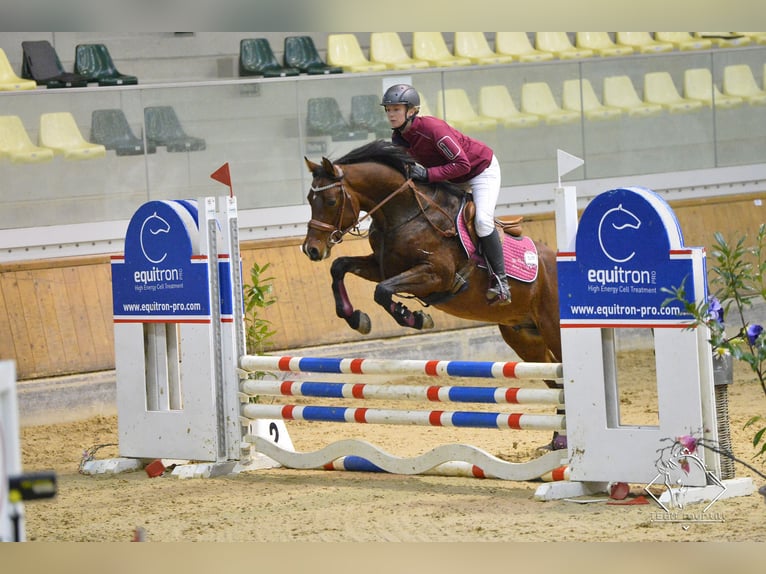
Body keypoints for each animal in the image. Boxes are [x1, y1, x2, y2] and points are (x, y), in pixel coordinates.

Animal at [302, 142, 564, 448]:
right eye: (309, 199)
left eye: (331, 201)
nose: (312, 249)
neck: (405, 215)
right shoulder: (381, 267)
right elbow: (340, 267)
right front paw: (356, 318)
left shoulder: (436, 276)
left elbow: (383, 291)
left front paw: (414, 318)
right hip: (524, 338)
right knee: (556, 379)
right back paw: (558, 440)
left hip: (553, 329)